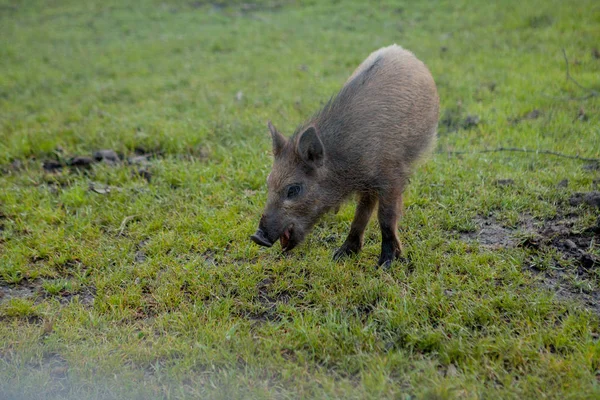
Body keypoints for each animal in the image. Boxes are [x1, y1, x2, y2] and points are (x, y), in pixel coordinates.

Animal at [251, 43, 438, 268]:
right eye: (268, 182)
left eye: (293, 189)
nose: (257, 237)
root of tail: (400, 50)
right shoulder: (369, 185)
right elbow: (361, 215)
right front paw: (339, 256)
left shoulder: (391, 177)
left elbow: (385, 217)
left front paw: (384, 265)